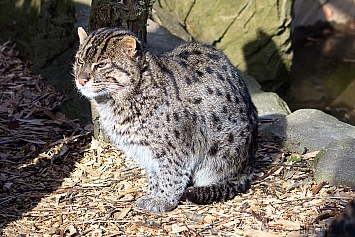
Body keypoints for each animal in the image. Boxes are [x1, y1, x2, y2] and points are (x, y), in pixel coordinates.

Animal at [73, 26, 260, 214]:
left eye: (101, 64)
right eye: (80, 61)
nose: (81, 79)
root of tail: (249, 165)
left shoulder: (178, 147)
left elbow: (172, 174)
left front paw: (163, 199)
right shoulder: (146, 151)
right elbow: (154, 175)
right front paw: (152, 194)